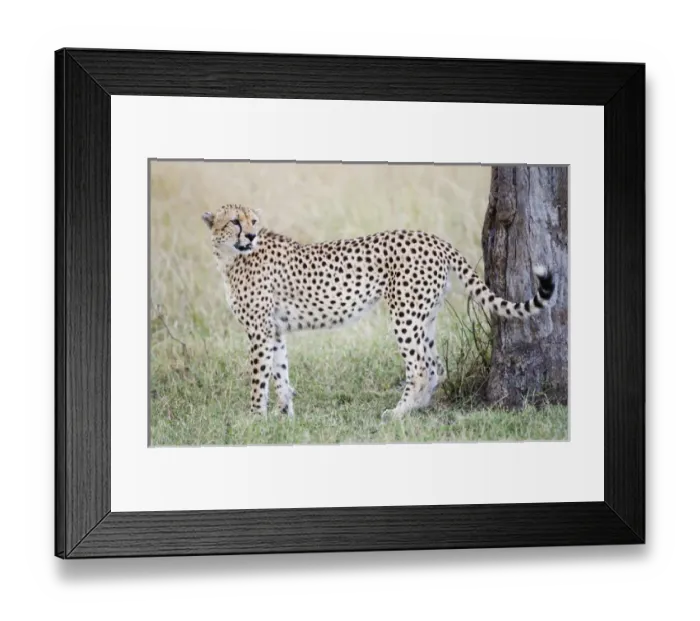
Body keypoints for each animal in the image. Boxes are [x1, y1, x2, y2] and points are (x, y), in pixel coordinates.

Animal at [202, 204, 556, 420]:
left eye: (253, 221)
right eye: (235, 221)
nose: (250, 234)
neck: (231, 257)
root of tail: (433, 238)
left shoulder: (260, 332)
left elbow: (259, 377)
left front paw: (255, 418)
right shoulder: (274, 330)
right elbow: (280, 373)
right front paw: (285, 415)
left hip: (405, 316)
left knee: (420, 368)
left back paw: (397, 413)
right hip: (425, 317)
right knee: (435, 365)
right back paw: (416, 409)